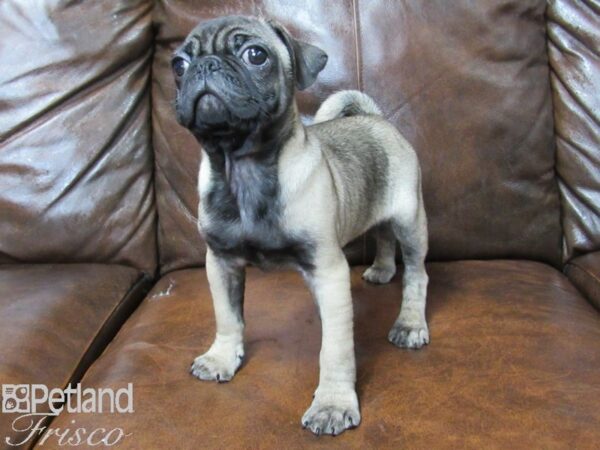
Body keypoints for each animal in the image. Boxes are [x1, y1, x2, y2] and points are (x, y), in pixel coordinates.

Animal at [171, 15, 428, 434]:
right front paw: (222, 357)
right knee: (382, 235)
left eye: (256, 55)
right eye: (178, 65)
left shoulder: (327, 270)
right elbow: (228, 317)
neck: (243, 167)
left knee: (417, 274)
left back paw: (409, 323)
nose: (205, 65)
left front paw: (333, 404)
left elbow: (335, 350)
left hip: (410, 222)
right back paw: (381, 269)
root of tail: (374, 117)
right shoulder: (221, 262)